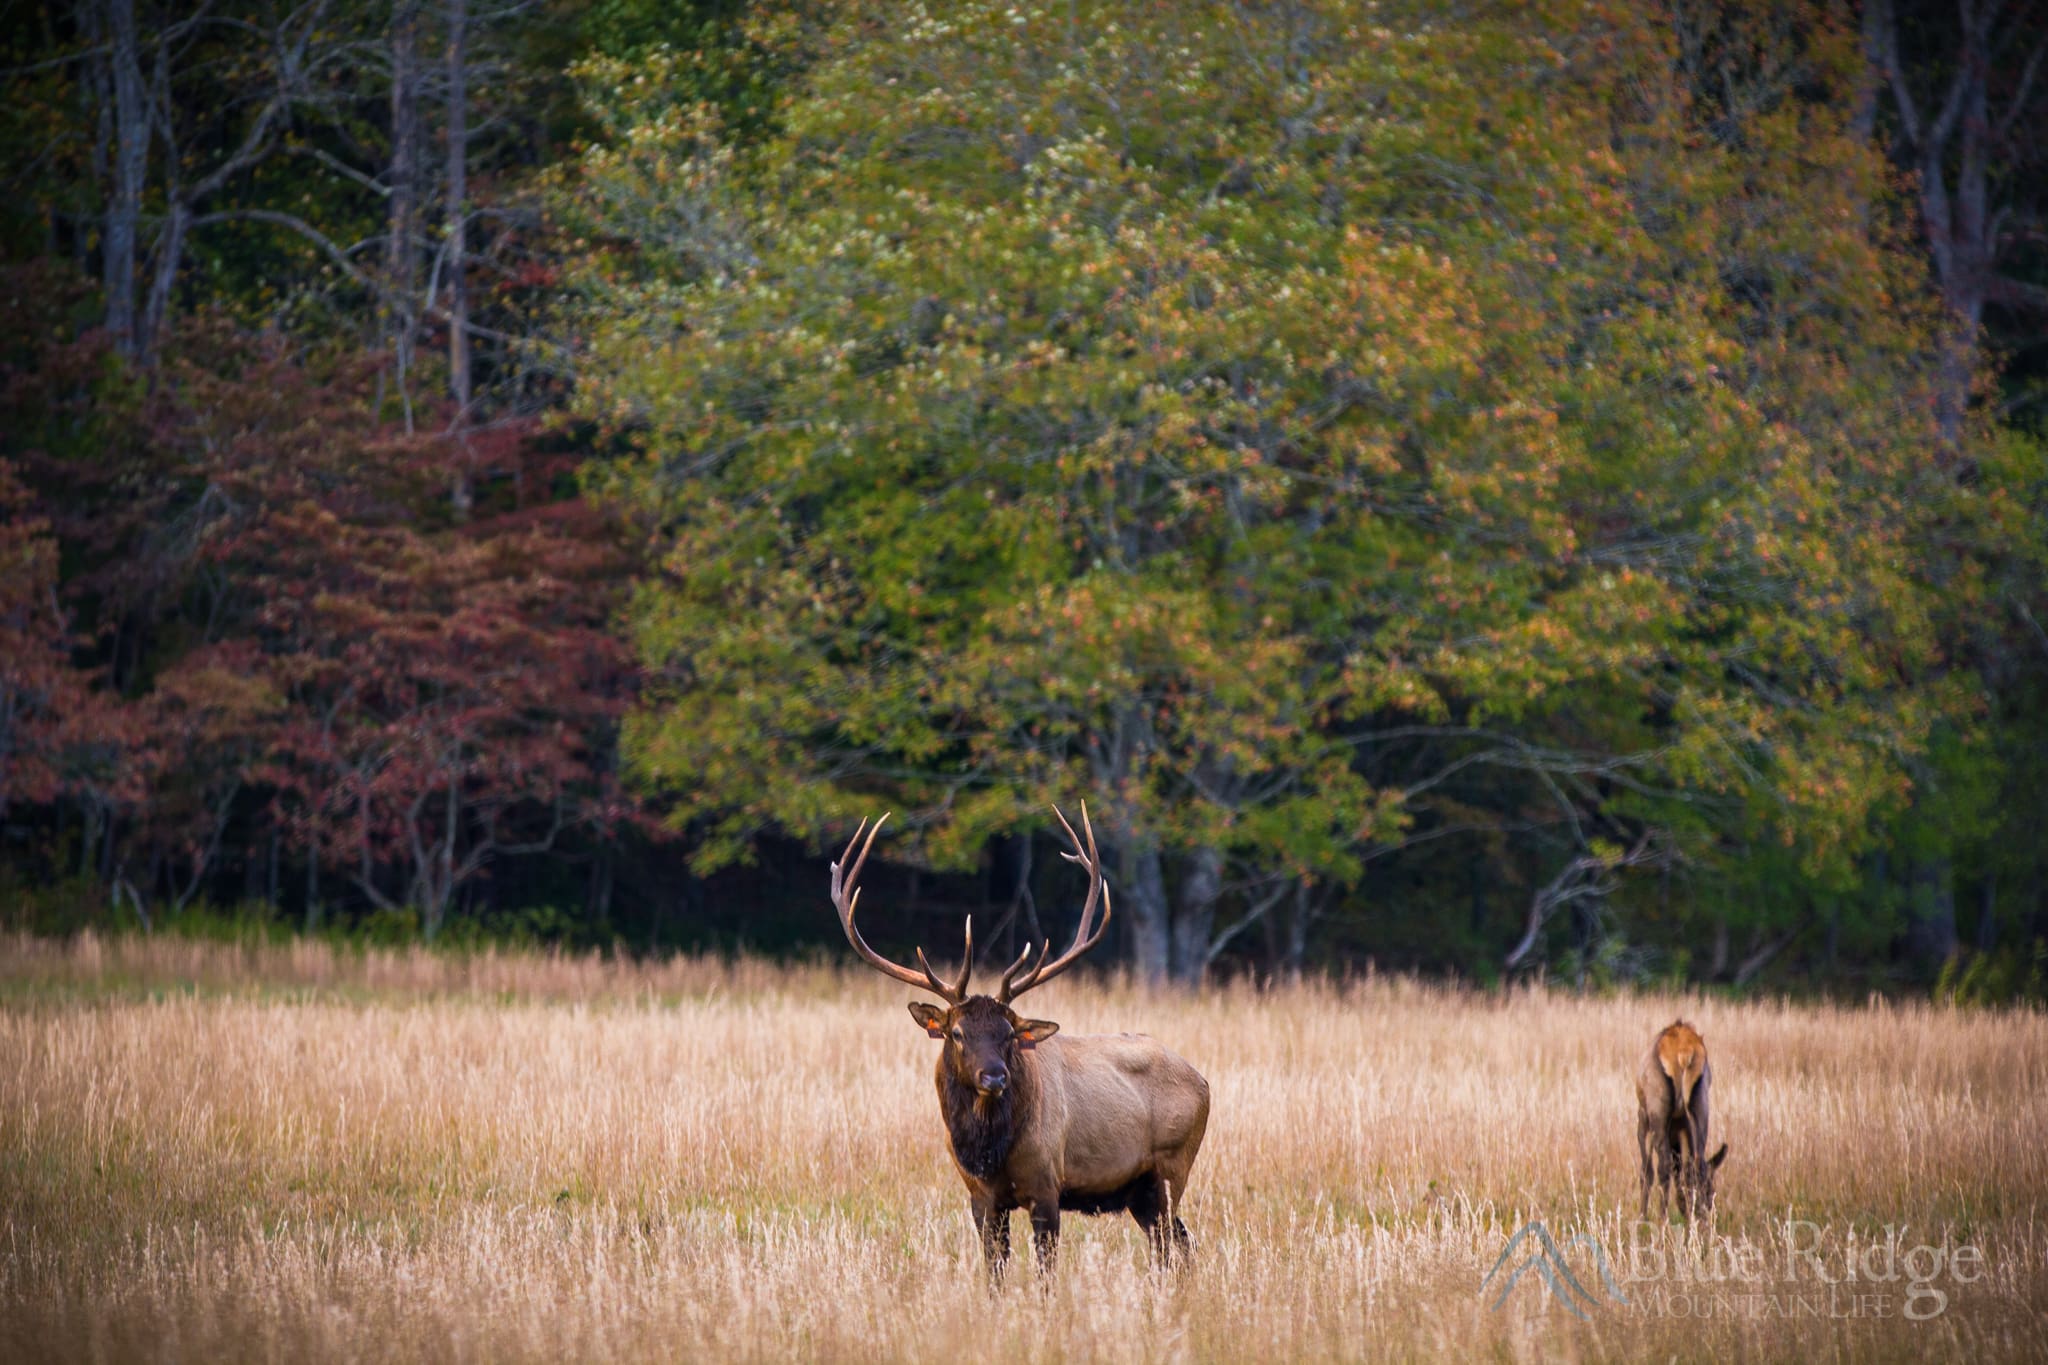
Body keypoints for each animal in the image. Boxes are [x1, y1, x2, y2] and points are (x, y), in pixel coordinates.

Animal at [831, 805, 1210, 1281]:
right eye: (957, 1033)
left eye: (1009, 1034)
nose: (994, 1076)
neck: (988, 1153)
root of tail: (1204, 1082)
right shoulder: (980, 1197)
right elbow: (994, 1271)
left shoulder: (1047, 1185)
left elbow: (1046, 1273)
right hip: (1140, 1190)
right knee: (1179, 1245)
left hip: (1171, 1168)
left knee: (1173, 1245)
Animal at [1636, 1019, 1728, 1221]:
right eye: (1712, 1190)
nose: (1709, 1209)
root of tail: (1684, 1053)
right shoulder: (1683, 1129)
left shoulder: (1643, 1119)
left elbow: (1646, 1171)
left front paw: (1641, 1218)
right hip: (1700, 1108)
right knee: (1696, 1166)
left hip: (1658, 1113)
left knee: (1663, 1167)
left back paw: (1662, 1223)